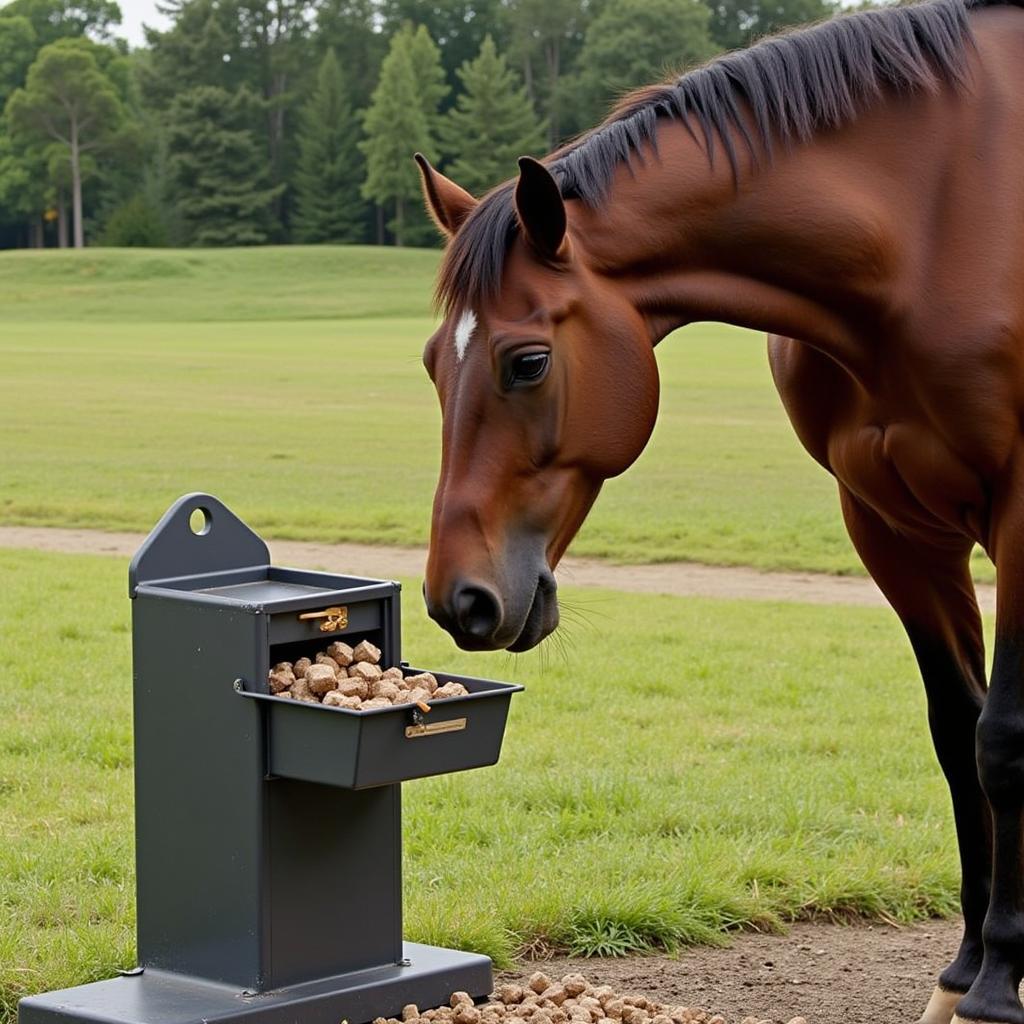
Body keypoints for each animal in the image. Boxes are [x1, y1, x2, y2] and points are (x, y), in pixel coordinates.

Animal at [413, 0, 1024, 1019]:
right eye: (432, 363)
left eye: (527, 361)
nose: (460, 599)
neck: (936, 221)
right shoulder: (891, 529)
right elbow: (955, 733)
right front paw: (964, 972)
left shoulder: (1021, 515)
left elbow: (1003, 738)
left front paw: (1000, 985)